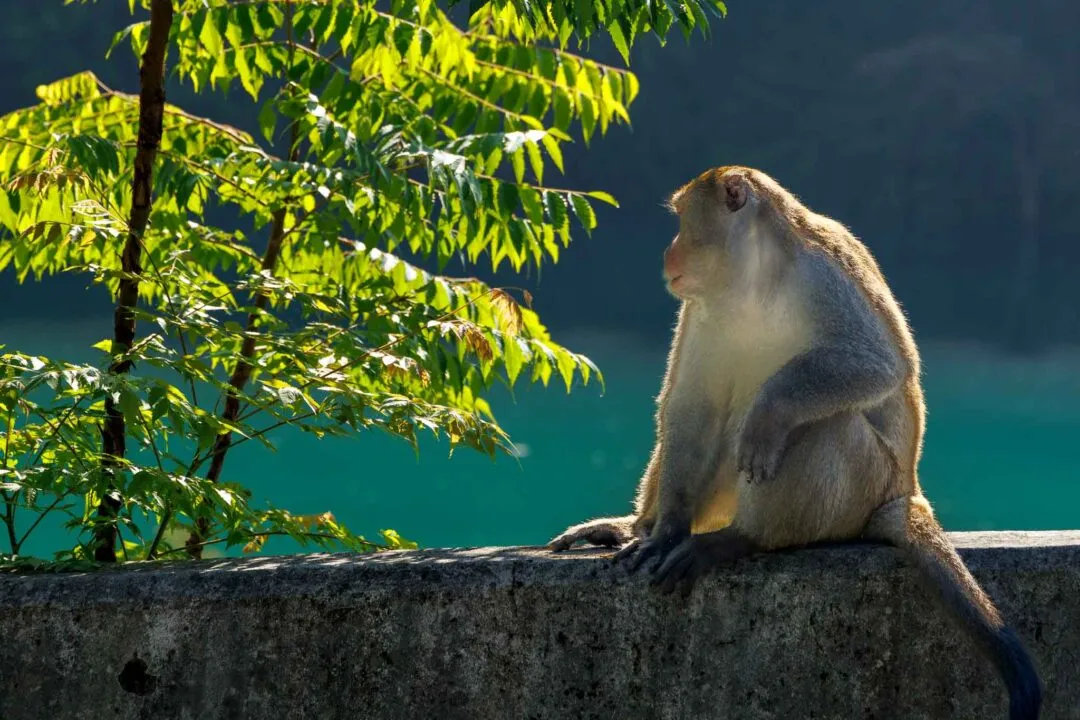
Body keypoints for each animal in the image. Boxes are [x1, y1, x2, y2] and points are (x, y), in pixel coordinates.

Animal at [548, 166, 1042, 720]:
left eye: (682, 220)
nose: (668, 253)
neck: (754, 283)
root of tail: (906, 492)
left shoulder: (825, 275)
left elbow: (879, 365)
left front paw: (770, 411)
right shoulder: (700, 308)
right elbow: (692, 409)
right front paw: (665, 528)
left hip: (865, 486)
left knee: (826, 426)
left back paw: (740, 538)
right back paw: (638, 525)